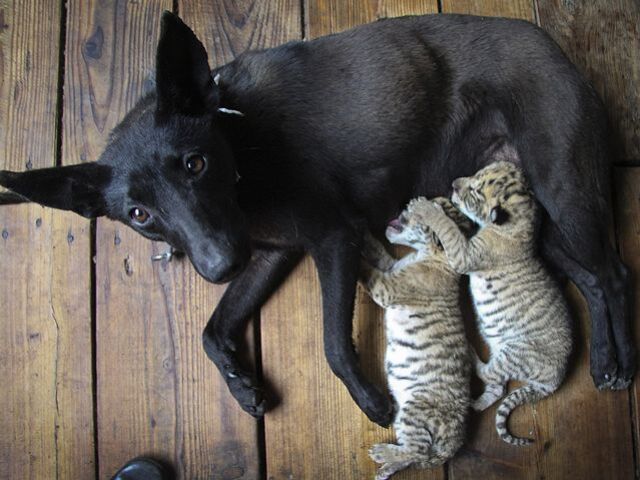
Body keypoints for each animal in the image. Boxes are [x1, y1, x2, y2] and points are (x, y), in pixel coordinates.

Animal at [360, 196, 474, 479]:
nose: (408, 202)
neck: (429, 254)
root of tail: (457, 438)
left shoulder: (388, 287)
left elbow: (369, 271)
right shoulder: (392, 266)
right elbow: (378, 251)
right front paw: (364, 234)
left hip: (415, 409)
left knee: (417, 451)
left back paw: (382, 453)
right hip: (403, 414)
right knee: (413, 454)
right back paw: (386, 465)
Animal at [419, 160, 572, 446]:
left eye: (475, 191)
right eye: (475, 174)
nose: (453, 183)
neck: (524, 221)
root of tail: (554, 381)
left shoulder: (465, 255)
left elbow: (448, 229)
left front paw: (428, 208)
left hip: (515, 352)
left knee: (488, 372)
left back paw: (470, 355)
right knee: (497, 387)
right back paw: (475, 404)